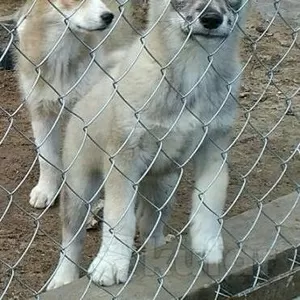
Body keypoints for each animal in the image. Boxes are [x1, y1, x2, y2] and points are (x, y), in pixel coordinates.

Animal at [47, 0, 248, 290]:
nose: (211, 19)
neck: (194, 68)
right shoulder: (124, 158)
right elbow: (119, 218)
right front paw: (111, 263)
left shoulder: (214, 147)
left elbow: (211, 198)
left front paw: (208, 243)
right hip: (80, 188)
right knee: (72, 238)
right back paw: (63, 278)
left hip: (162, 189)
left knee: (149, 224)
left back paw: (157, 252)